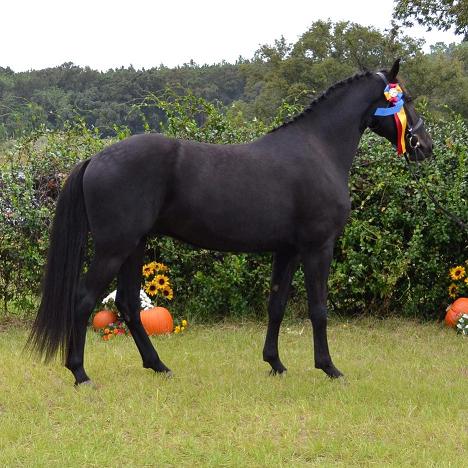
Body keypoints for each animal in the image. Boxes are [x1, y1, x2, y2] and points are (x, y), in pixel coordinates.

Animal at [28, 60, 432, 386]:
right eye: (406, 98)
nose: (424, 146)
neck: (318, 148)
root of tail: (95, 158)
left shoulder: (287, 250)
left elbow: (277, 304)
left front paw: (275, 364)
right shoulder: (318, 246)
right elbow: (318, 309)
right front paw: (329, 368)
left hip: (135, 246)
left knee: (127, 304)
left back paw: (159, 366)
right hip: (115, 247)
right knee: (84, 300)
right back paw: (80, 373)